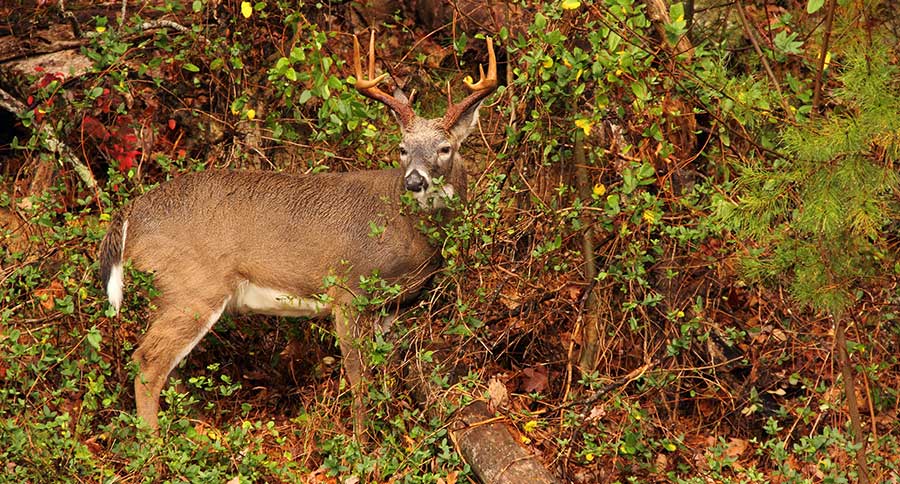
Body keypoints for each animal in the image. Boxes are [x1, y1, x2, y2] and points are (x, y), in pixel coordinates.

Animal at [98, 33, 500, 434]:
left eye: (445, 148)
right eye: (402, 149)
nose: (414, 181)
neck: (406, 230)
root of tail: (131, 212)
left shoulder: (394, 304)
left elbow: (384, 369)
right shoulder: (348, 289)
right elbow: (359, 376)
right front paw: (361, 440)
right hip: (192, 286)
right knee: (147, 361)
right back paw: (156, 443)